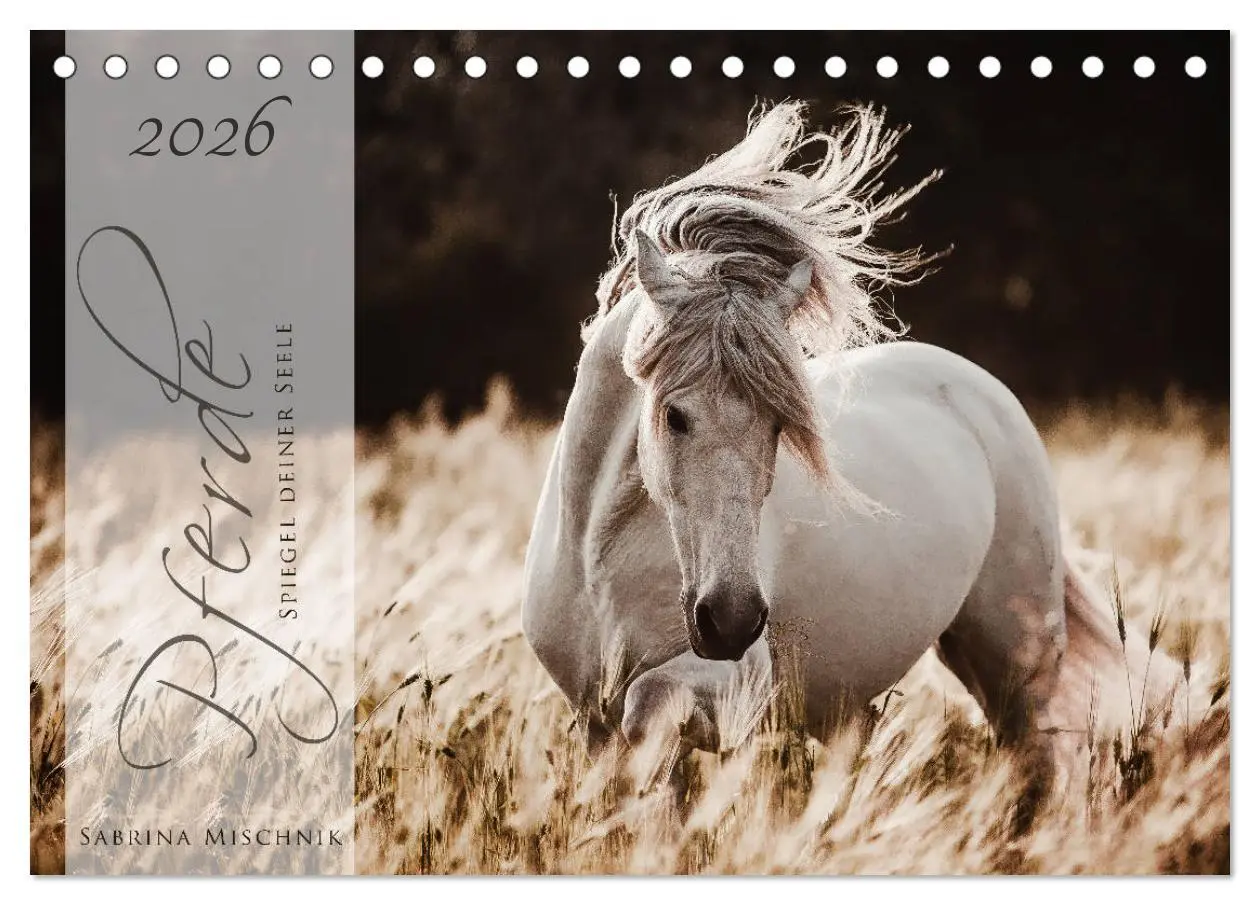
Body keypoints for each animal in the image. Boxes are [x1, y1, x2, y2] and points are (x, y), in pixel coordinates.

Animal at [522, 101, 1172, 799]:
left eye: (779, 426)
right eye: (674, 415)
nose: (732, 620)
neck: (600, 553)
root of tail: (978, 390)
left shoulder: (731, 685)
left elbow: (647, 710)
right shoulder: (590, 719)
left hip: (1018, 652)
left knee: (1046, 754)